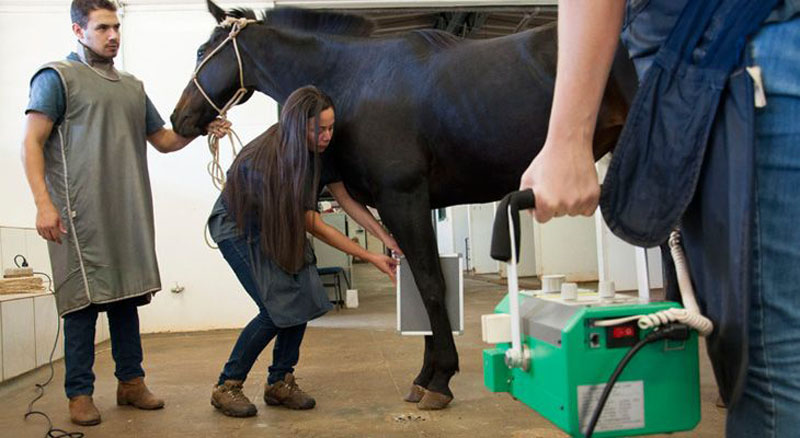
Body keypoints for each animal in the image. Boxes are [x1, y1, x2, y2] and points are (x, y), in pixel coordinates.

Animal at [172, 0, 636, 410]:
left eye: (201, 51)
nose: (179, 119)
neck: (357, 81)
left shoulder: (404, 198)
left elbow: (431, 285)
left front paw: (440, 380)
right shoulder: (408, 205)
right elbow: (420, 281)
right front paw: (425, 376)